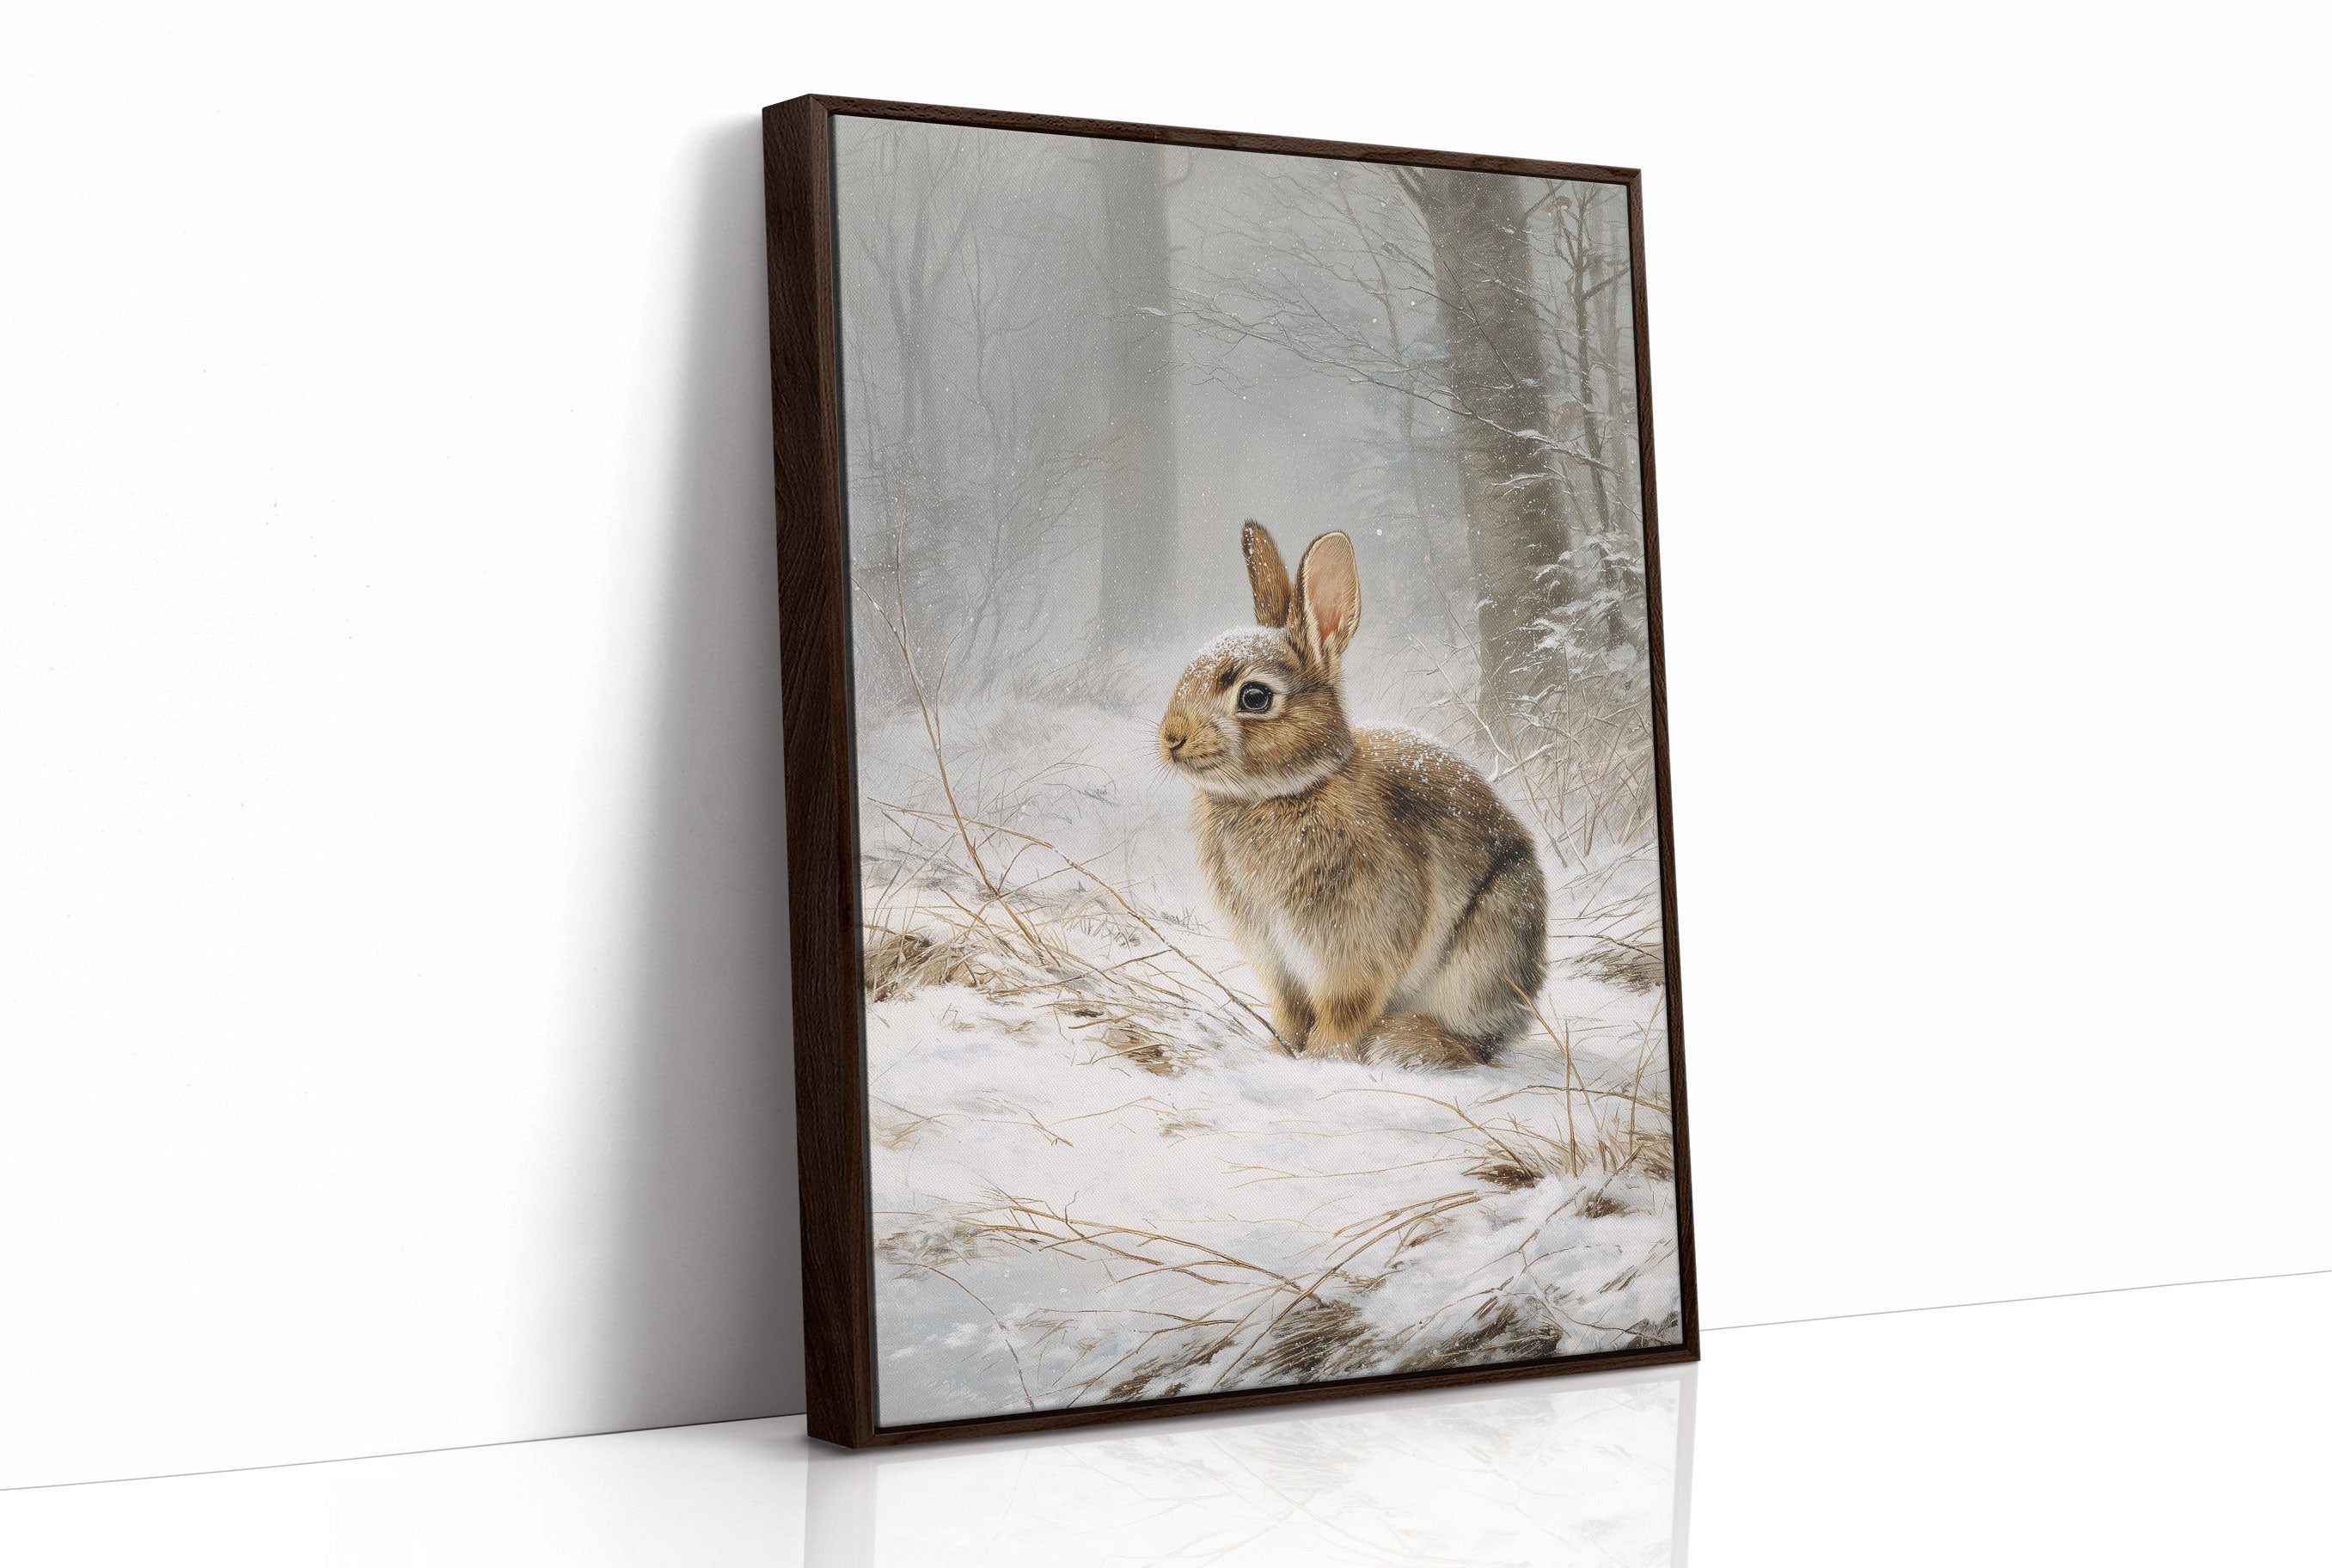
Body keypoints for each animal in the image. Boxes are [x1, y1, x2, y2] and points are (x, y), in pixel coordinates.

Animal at [1158, 522, 1548, 1068]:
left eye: (1254, 697)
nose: (1171, 737)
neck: (1288, 791)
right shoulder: (1277, 961)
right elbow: (1291, 1011)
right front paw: (1279, 1052)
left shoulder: (1357, 950)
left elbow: (1343, 1011)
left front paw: (1325, 1060)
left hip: (1488, 948)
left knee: (1477, 1042)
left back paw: (1407, 1042)